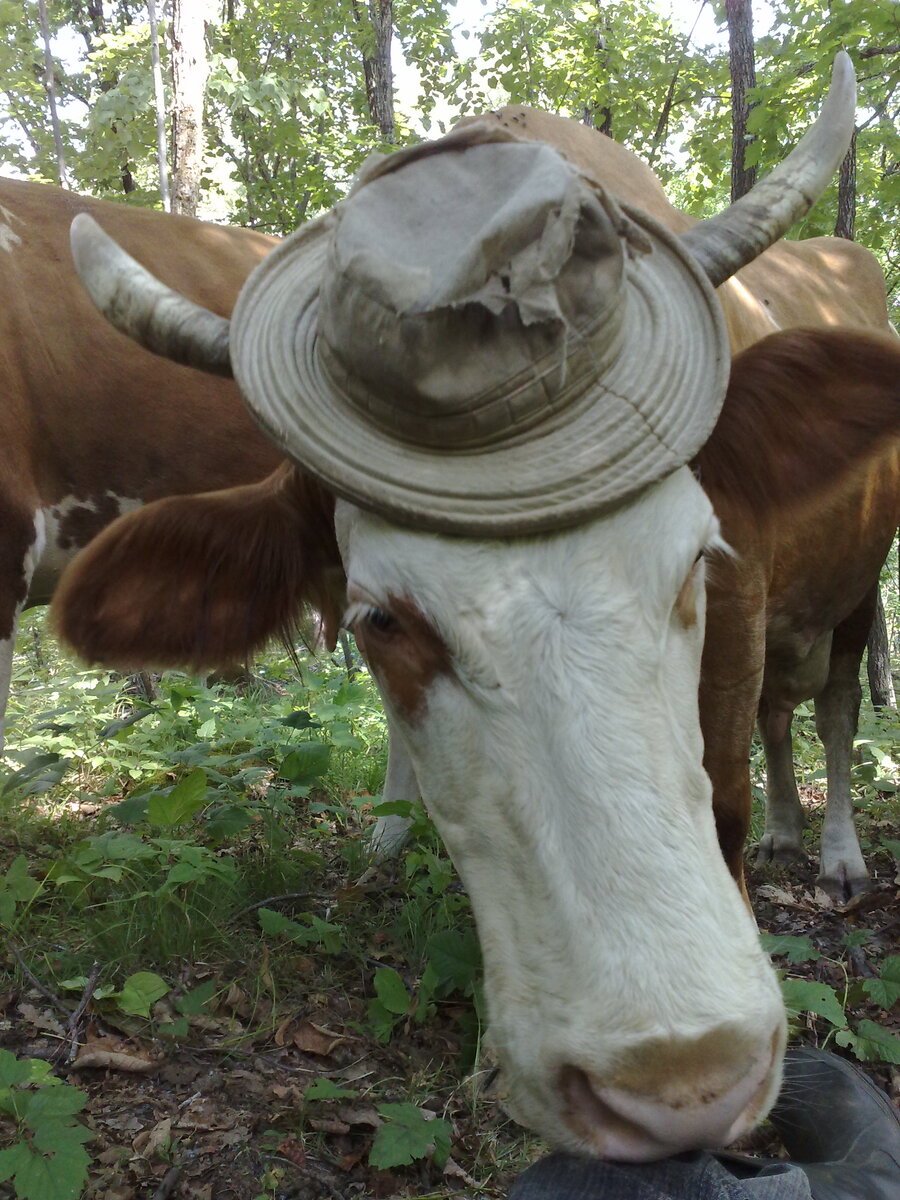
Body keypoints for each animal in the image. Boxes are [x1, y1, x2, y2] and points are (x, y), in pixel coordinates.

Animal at [51, 56, 900, 1161]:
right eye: (381, 621)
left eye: (693, 564)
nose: (679, 1084)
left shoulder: (747, 591)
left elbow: (726, 793)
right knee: (784, 715)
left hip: (859, 585)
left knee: (833, 707)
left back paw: (833, 855)